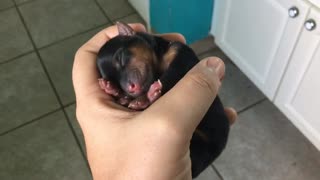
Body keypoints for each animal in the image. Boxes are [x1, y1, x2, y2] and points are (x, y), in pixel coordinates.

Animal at [96, 21, 229, 178]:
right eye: (115, 82)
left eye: (121, 58)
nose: (130, 89)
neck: (158, 64)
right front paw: (117, 93)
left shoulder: (181, 57)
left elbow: (171, 75)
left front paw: (145, 97)